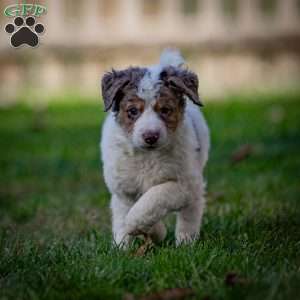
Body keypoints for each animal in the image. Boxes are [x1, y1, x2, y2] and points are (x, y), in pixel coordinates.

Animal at [100, 48, 209, 246]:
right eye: (133, 111)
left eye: (165, 110)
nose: (150, 136)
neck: (148, 157)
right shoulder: (123, 188)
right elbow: (126, 211)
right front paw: (128, 241)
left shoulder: (185, 184)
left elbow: (155, 196)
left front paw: (134, 223)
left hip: (195, 182)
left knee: (191, 211)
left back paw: (186, 242)